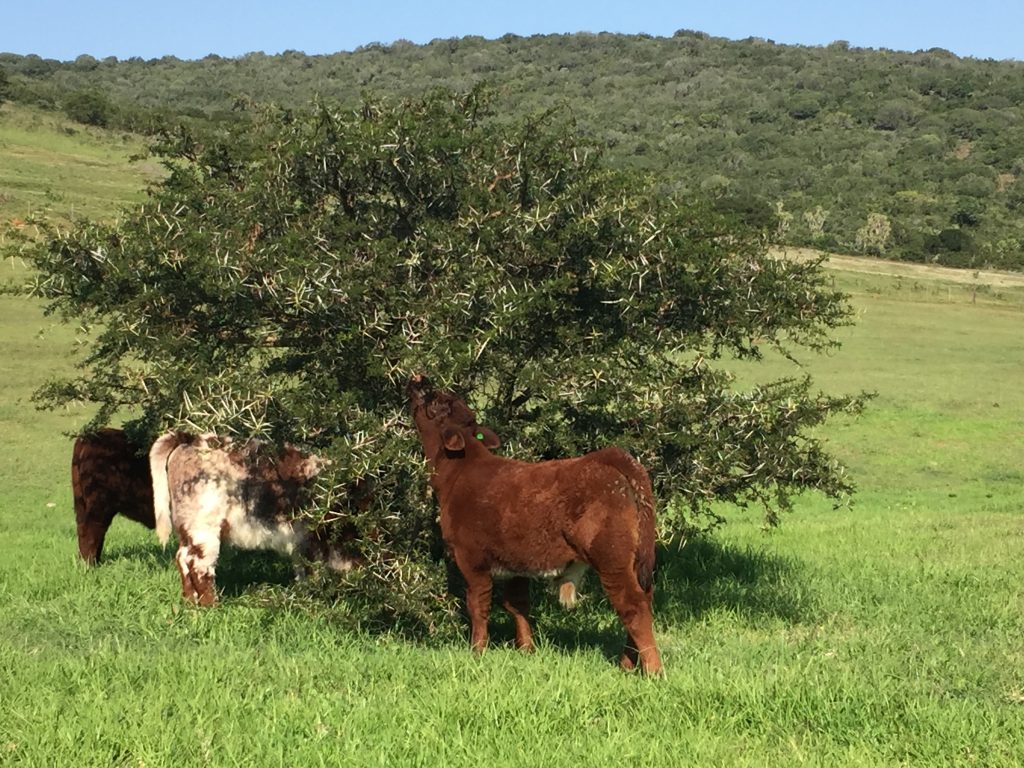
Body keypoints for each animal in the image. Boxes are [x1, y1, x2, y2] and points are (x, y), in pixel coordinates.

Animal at [149, 432, 357, 606]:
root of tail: (193, 439)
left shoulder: (301, 541)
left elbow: (303, 570)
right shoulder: (312, 538)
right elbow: (313, 569)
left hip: (188, 530)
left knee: (182, 559)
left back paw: (191, 603)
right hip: (204, 529)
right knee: (198, 565)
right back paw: (211, 605)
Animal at [407, 374, 663, 675]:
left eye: (435, 402)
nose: (421, 379)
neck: (459, 472)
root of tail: (608, 458)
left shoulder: (470, 558)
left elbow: (478, 604)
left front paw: (477, 651)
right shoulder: (515, 561)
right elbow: (517, 603)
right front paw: (527, 649)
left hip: (612, 557)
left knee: (634, 606)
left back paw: (653, 670)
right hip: (633, 559)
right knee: (645, 599)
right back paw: (626, 664)